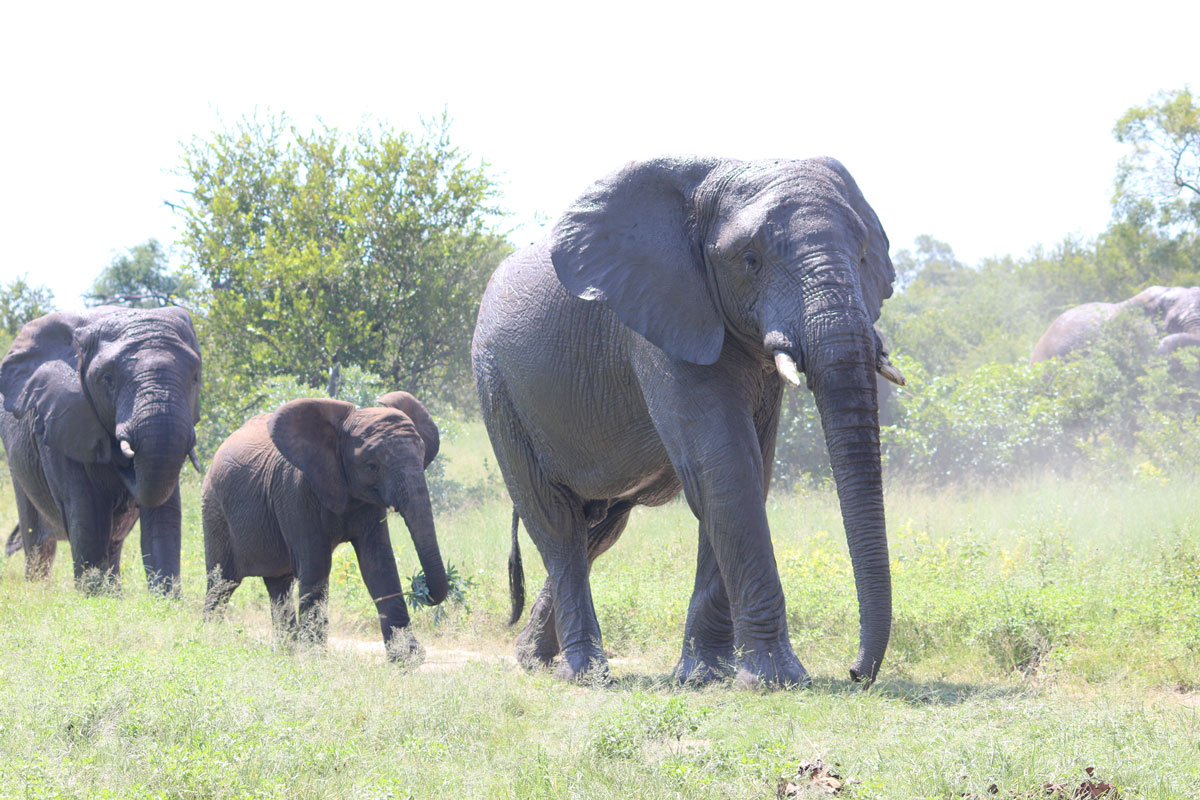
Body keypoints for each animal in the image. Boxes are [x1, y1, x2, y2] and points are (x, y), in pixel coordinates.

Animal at [0, 307, 201, 594]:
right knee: (37, 540)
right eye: (108, 379)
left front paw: (166, 600)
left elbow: (165, 512)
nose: (122, 458)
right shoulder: (60, 422)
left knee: (113, 542)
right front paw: (94, 598)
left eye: (195, 376)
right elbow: (87, 512)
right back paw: (37, 591)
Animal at [201, 391, 451, 662]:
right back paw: (210, 638)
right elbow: (316, 564)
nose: (419, 583)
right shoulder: (295, 492)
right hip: (213, 509)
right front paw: (314, 658)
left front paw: (407, 660)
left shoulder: (368, 502)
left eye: (422, 456)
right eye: (372, 466)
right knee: (222, 583)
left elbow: (379, 563)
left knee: (278, 585)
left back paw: (286, 651)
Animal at [472, 155, 902, 690]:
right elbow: (724, 468)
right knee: (556, 523)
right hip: (498, 388)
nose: (855, 672)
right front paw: (775, 682)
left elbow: (746, 472)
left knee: (597, 530)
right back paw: (584, 675)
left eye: (864, 257)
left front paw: (704, 676)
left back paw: (533, 660)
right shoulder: (656, 321)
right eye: (750, 260)